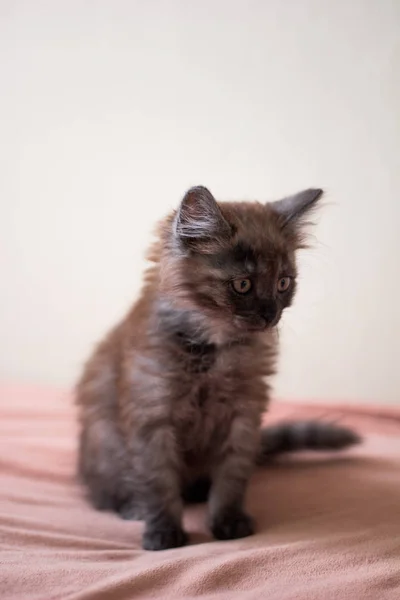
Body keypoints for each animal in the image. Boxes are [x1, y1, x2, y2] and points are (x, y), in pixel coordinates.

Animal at [75, 185, 360, 552]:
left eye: (283, 283)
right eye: (243, 285)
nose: (270, 314)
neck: (213, 351)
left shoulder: (244, 414)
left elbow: (231, 476)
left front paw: (229, 521)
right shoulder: (152, 416)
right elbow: (158, 482)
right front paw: (163, 532)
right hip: (104, 445)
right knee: (107, 493)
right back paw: (132, 507)